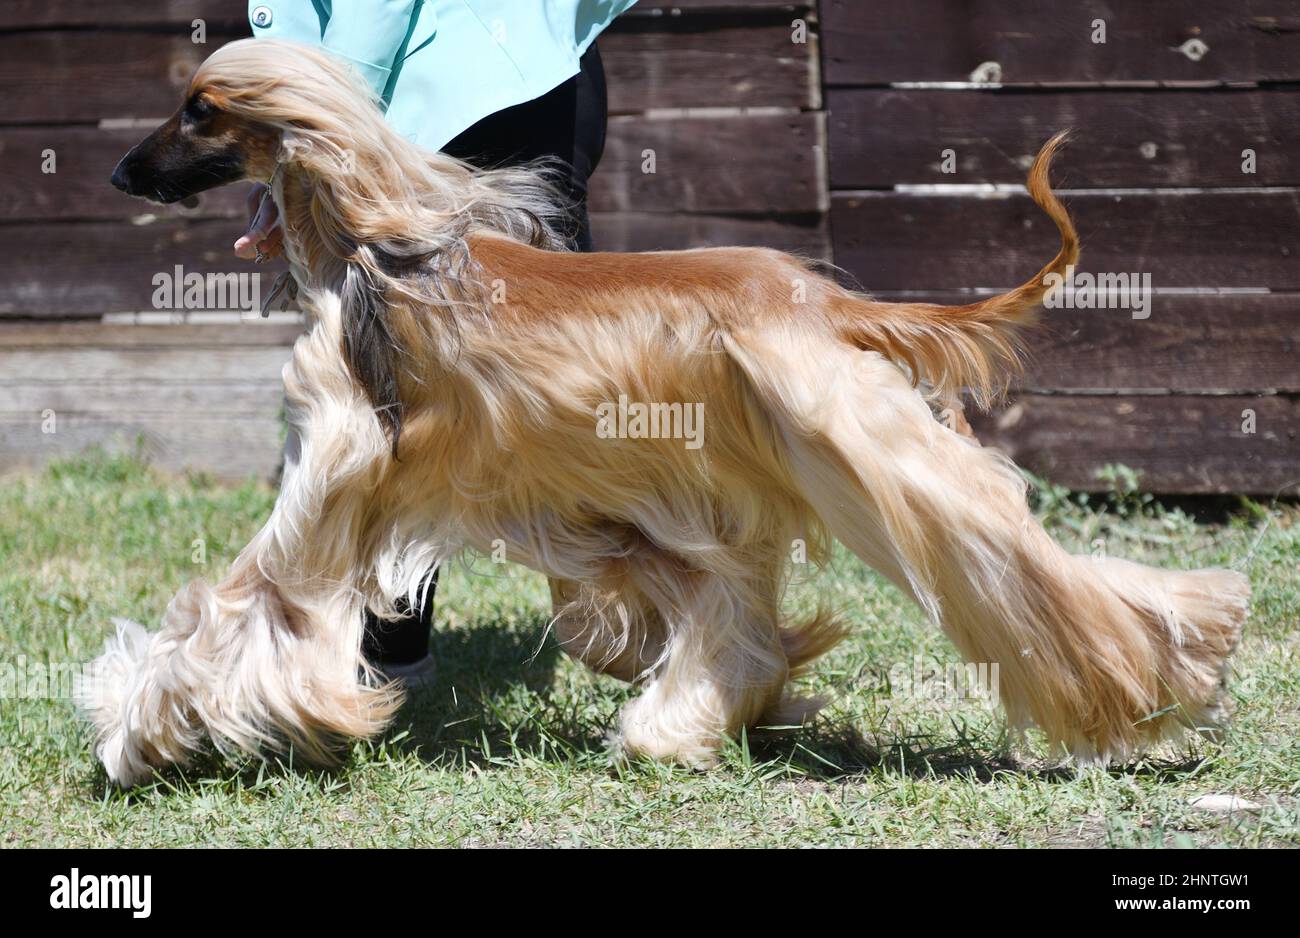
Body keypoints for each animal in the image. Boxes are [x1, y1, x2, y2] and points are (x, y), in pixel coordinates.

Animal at [81, 38, 1248, 779]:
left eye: (199, 107)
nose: (122, 170)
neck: (375, 248)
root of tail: (817, 294)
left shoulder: (334, 483)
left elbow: (237, 604)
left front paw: (140, 729)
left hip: (856, 446)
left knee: (1012, 564)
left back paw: (1161, 671)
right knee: (738, 606)